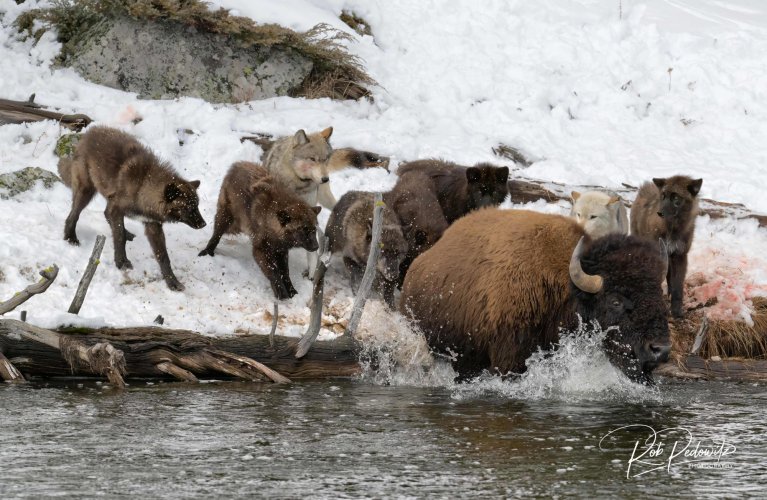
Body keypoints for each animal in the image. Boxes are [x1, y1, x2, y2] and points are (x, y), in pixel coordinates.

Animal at [59, 124, 206, 292]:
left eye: (197, 205)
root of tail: (89, 131)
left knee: (105, 214)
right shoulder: (117, 209)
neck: (143, 186)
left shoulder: (152, 225)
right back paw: (70, 237)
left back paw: (126, 232)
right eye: (189, 207)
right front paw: (121, 262)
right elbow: (119, 238)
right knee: (73, 215)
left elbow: (163, 256)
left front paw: (172, 282)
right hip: (86, 192)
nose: (204, 224)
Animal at [632, 176, 704, 316]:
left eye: (675, 197)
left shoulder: (680, 256)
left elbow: (677, 286)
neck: (673, 229)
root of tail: (645, 186)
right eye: (663, 196)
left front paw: (676, 311)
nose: (659, 213)